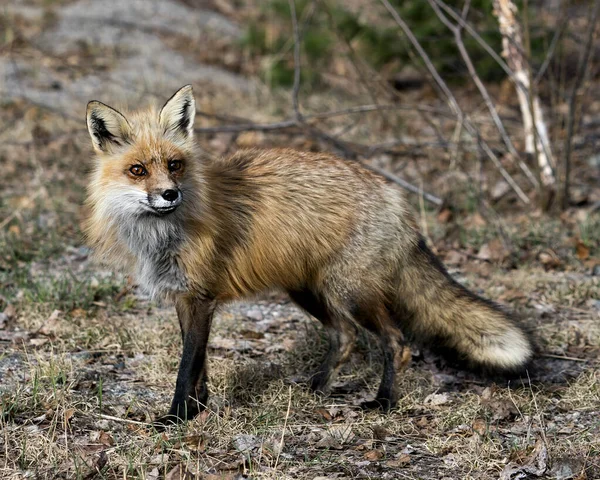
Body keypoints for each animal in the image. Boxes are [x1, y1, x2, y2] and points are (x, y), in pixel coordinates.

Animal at [84, 85, 536, 424]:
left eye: (175, 165)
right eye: (138, 170)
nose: (170, 194)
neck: (163, 234)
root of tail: (395, 197)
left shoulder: (201, 298)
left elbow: (185, 368)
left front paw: (177, 418)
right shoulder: (186, 298)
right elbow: (199, 366)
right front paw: (199, 410)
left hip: (349, 292)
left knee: (395, 342)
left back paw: (383, 402)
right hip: (309, 291)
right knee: (345, 336)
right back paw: (316, 389)